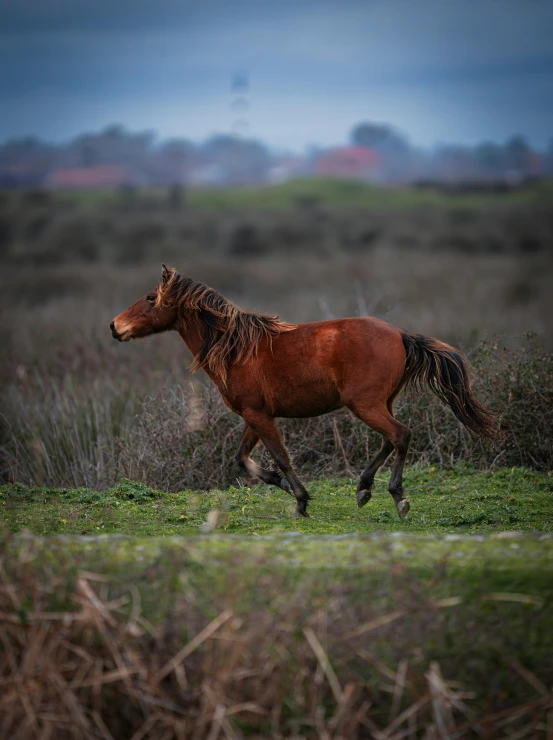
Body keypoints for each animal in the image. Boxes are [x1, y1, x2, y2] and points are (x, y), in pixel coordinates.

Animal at [111, 266, 496, 520]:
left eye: (150, 297)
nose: (115, 327)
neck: (236, 349)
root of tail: (401, 334)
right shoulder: (255, 415)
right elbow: (243, 459)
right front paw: (281, 484)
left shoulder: (258, 415)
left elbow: (280, 457)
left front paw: (299, 500)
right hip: (381, 402)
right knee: (391, 440)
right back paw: (364, 488)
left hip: (365, 404)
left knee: (400, 435)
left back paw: (397, 496)